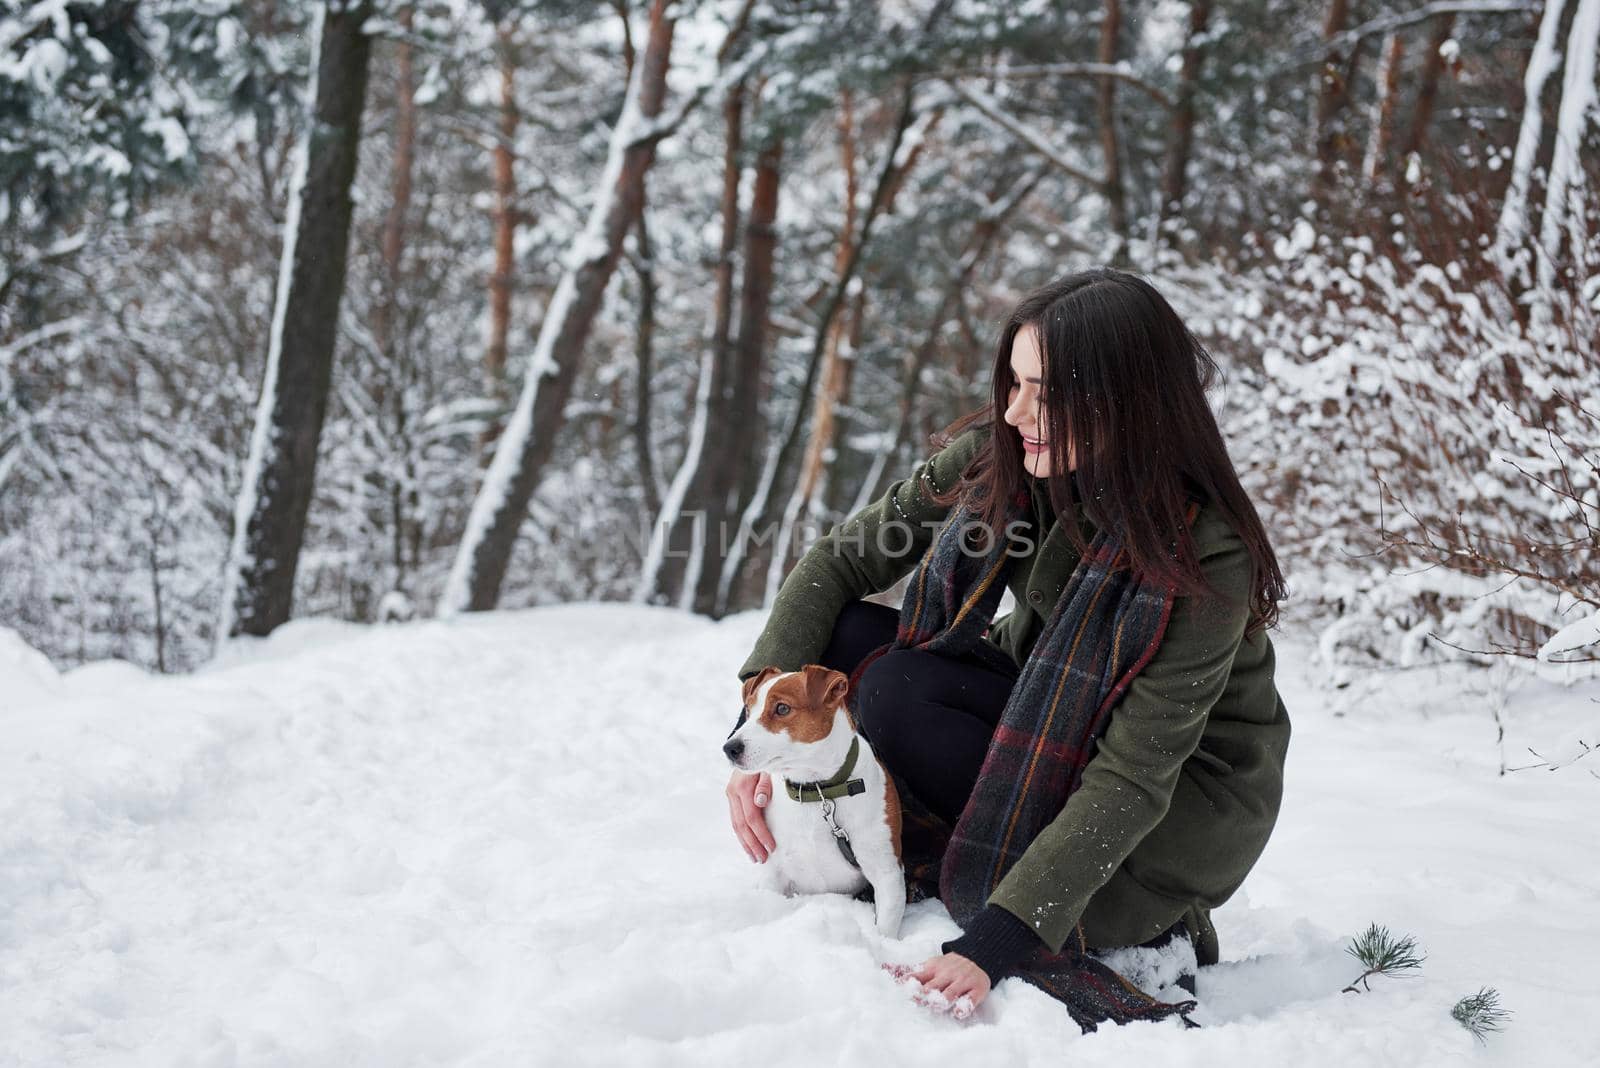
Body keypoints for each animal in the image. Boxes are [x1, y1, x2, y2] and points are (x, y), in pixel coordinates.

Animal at [723, 661, 902, 940]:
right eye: (749, 710)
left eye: (782, 708)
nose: (730, 748)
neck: (816, 791)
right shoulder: (774, 873)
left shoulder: (887, 872)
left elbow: (885, 929)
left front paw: (885, 949)